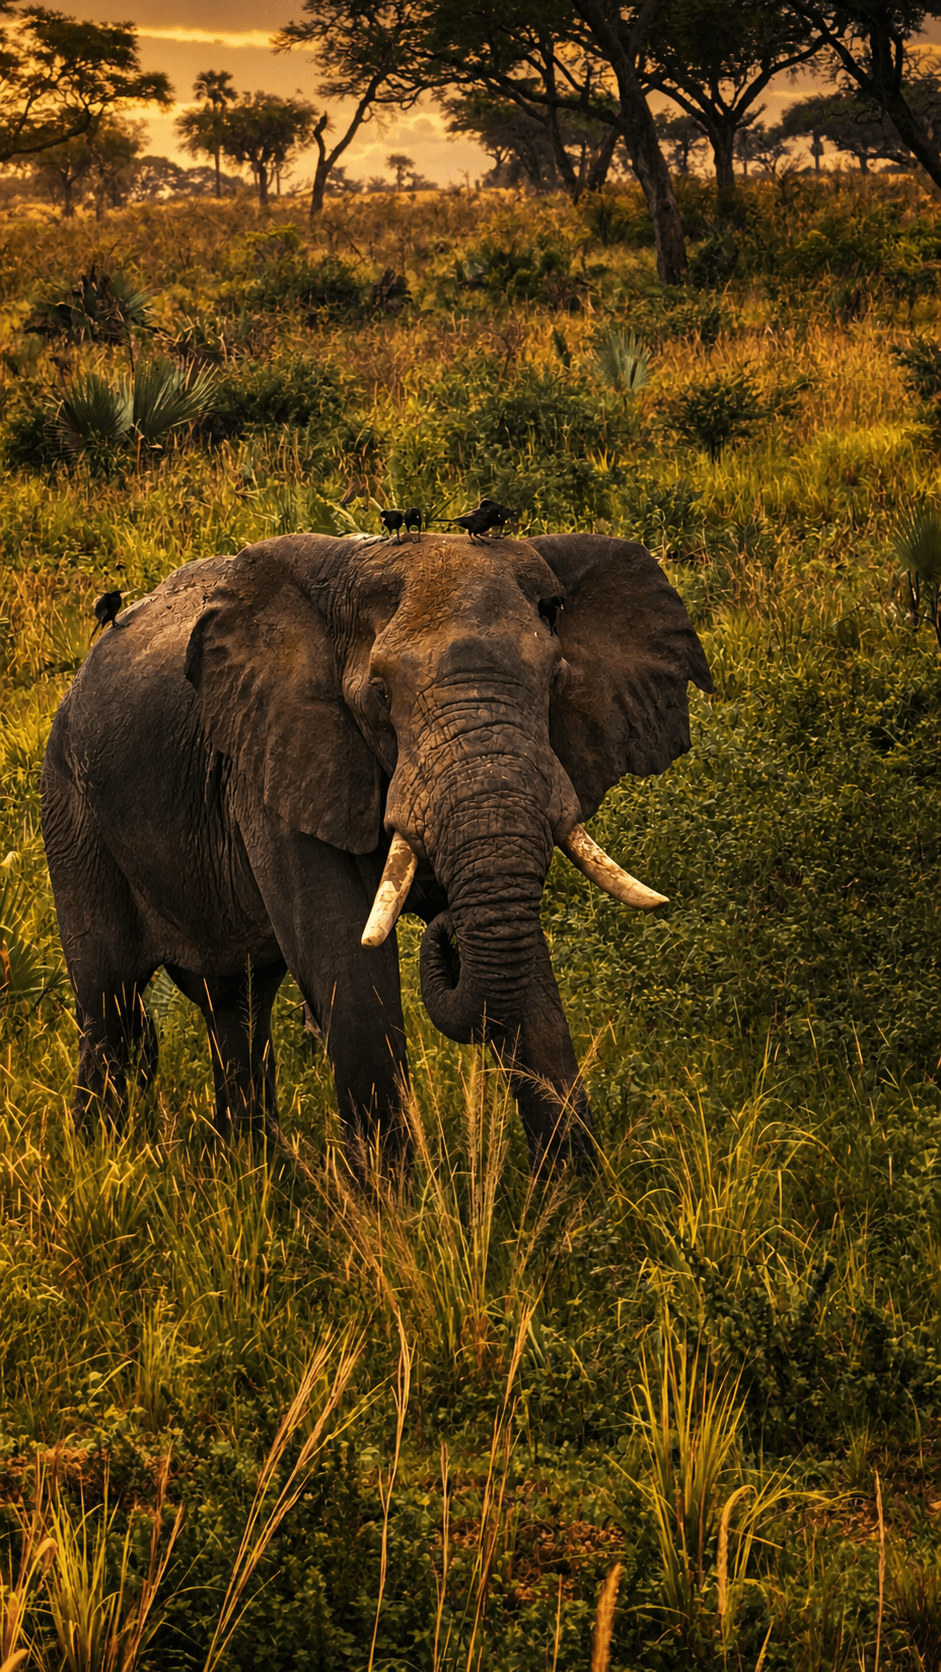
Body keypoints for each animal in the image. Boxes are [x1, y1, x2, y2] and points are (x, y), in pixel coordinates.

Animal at [41, 530, 713, 1170]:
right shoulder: (279, 761)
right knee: (113, 1006)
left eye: (555, 683)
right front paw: (395, 1209)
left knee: (235, 1005)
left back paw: (253, 1172)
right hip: (70, 807)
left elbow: (533, 994)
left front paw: (572, 1203)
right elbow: (349, 972)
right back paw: (100, 1162)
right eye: (381, 697)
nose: (446, 926)